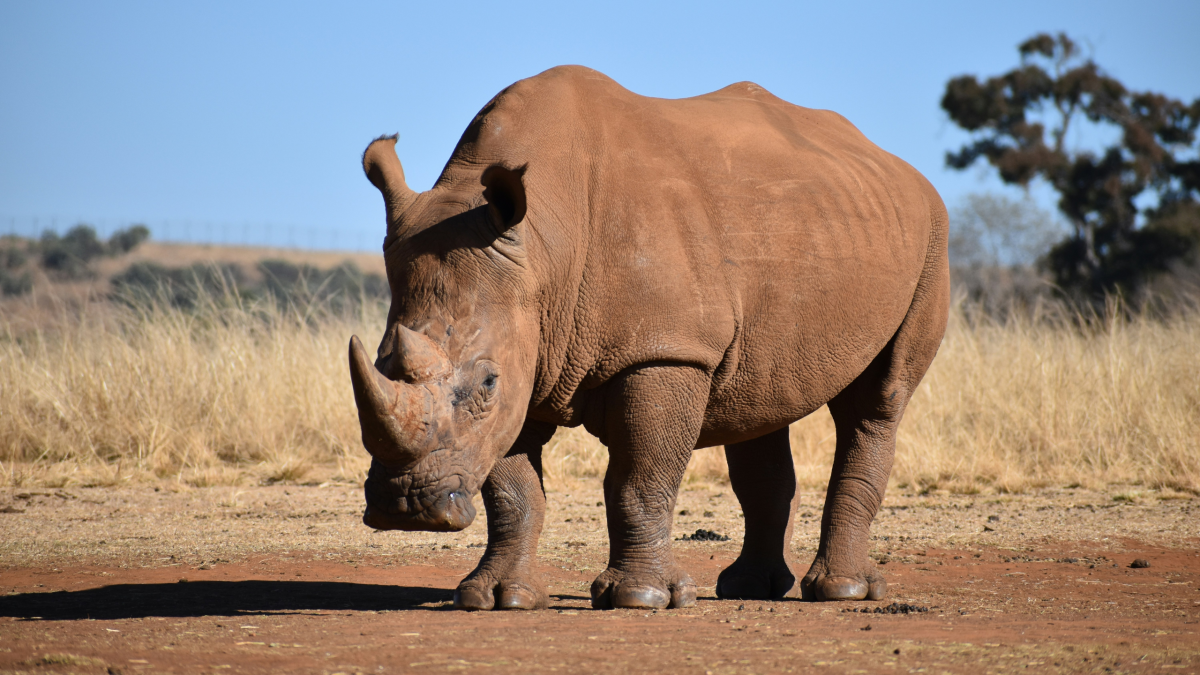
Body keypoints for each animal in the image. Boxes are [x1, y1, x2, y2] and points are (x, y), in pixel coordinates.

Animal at [349, 65, 948, 611]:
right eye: (379, 362)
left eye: (486, 383)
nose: (404, 507)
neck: (543, 247)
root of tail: (896, 164)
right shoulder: (529, 347)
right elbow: (512, 489)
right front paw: (497, 598)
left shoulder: (664, 350)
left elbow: (638, 479)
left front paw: (640, 598)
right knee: (758, 401)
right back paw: (748, 588)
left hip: (931, 237)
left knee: (877, 402)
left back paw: (841, 591)